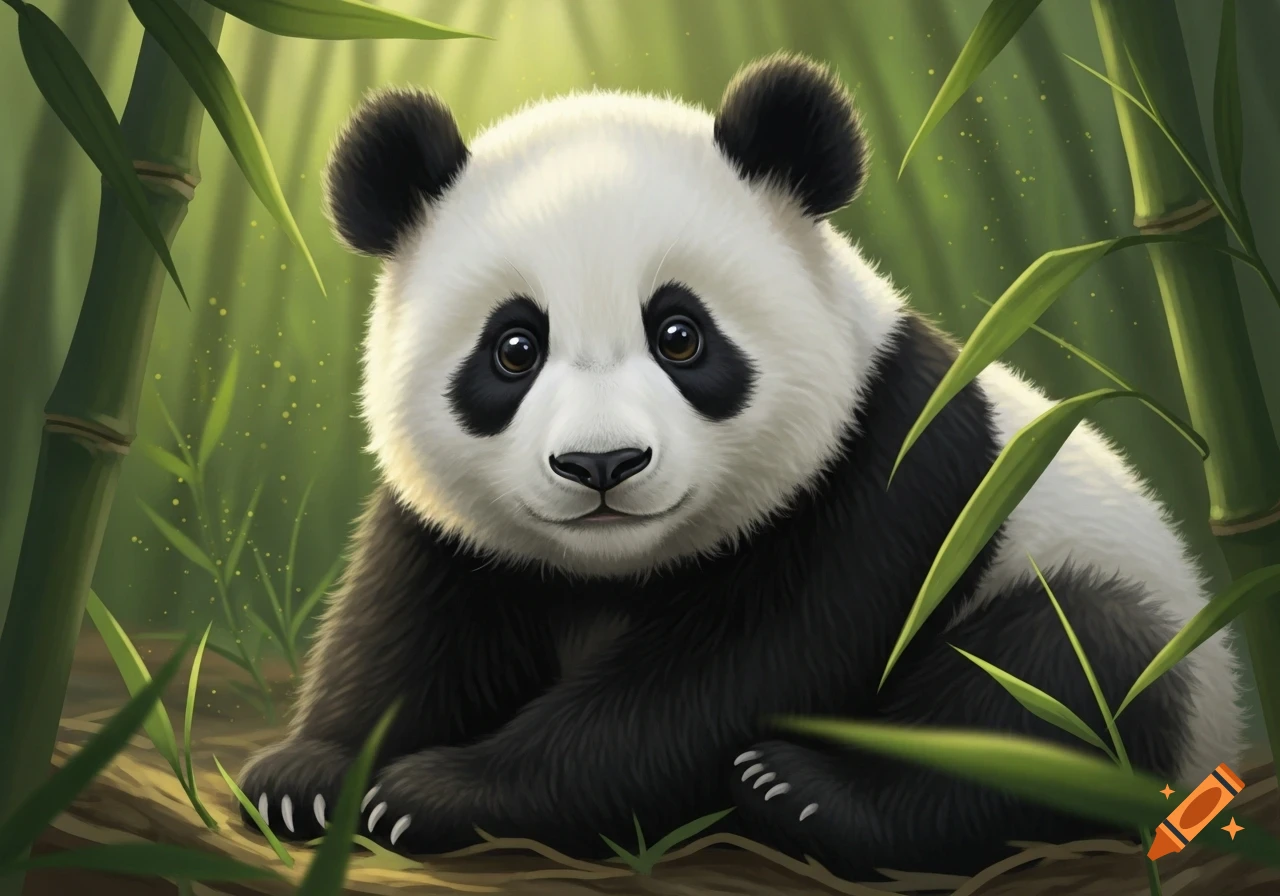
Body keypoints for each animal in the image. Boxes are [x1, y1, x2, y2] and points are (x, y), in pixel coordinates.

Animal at [236, 52, 1244, 878]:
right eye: (513, 349)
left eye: (680, 335)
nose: (602, 463)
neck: (617, 571)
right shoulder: (457, 535)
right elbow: (403, 628)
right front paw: (310, 773)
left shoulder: (888, 469)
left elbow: (728, 679)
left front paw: (432, 792)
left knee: (1070, 671)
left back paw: (804, 795)